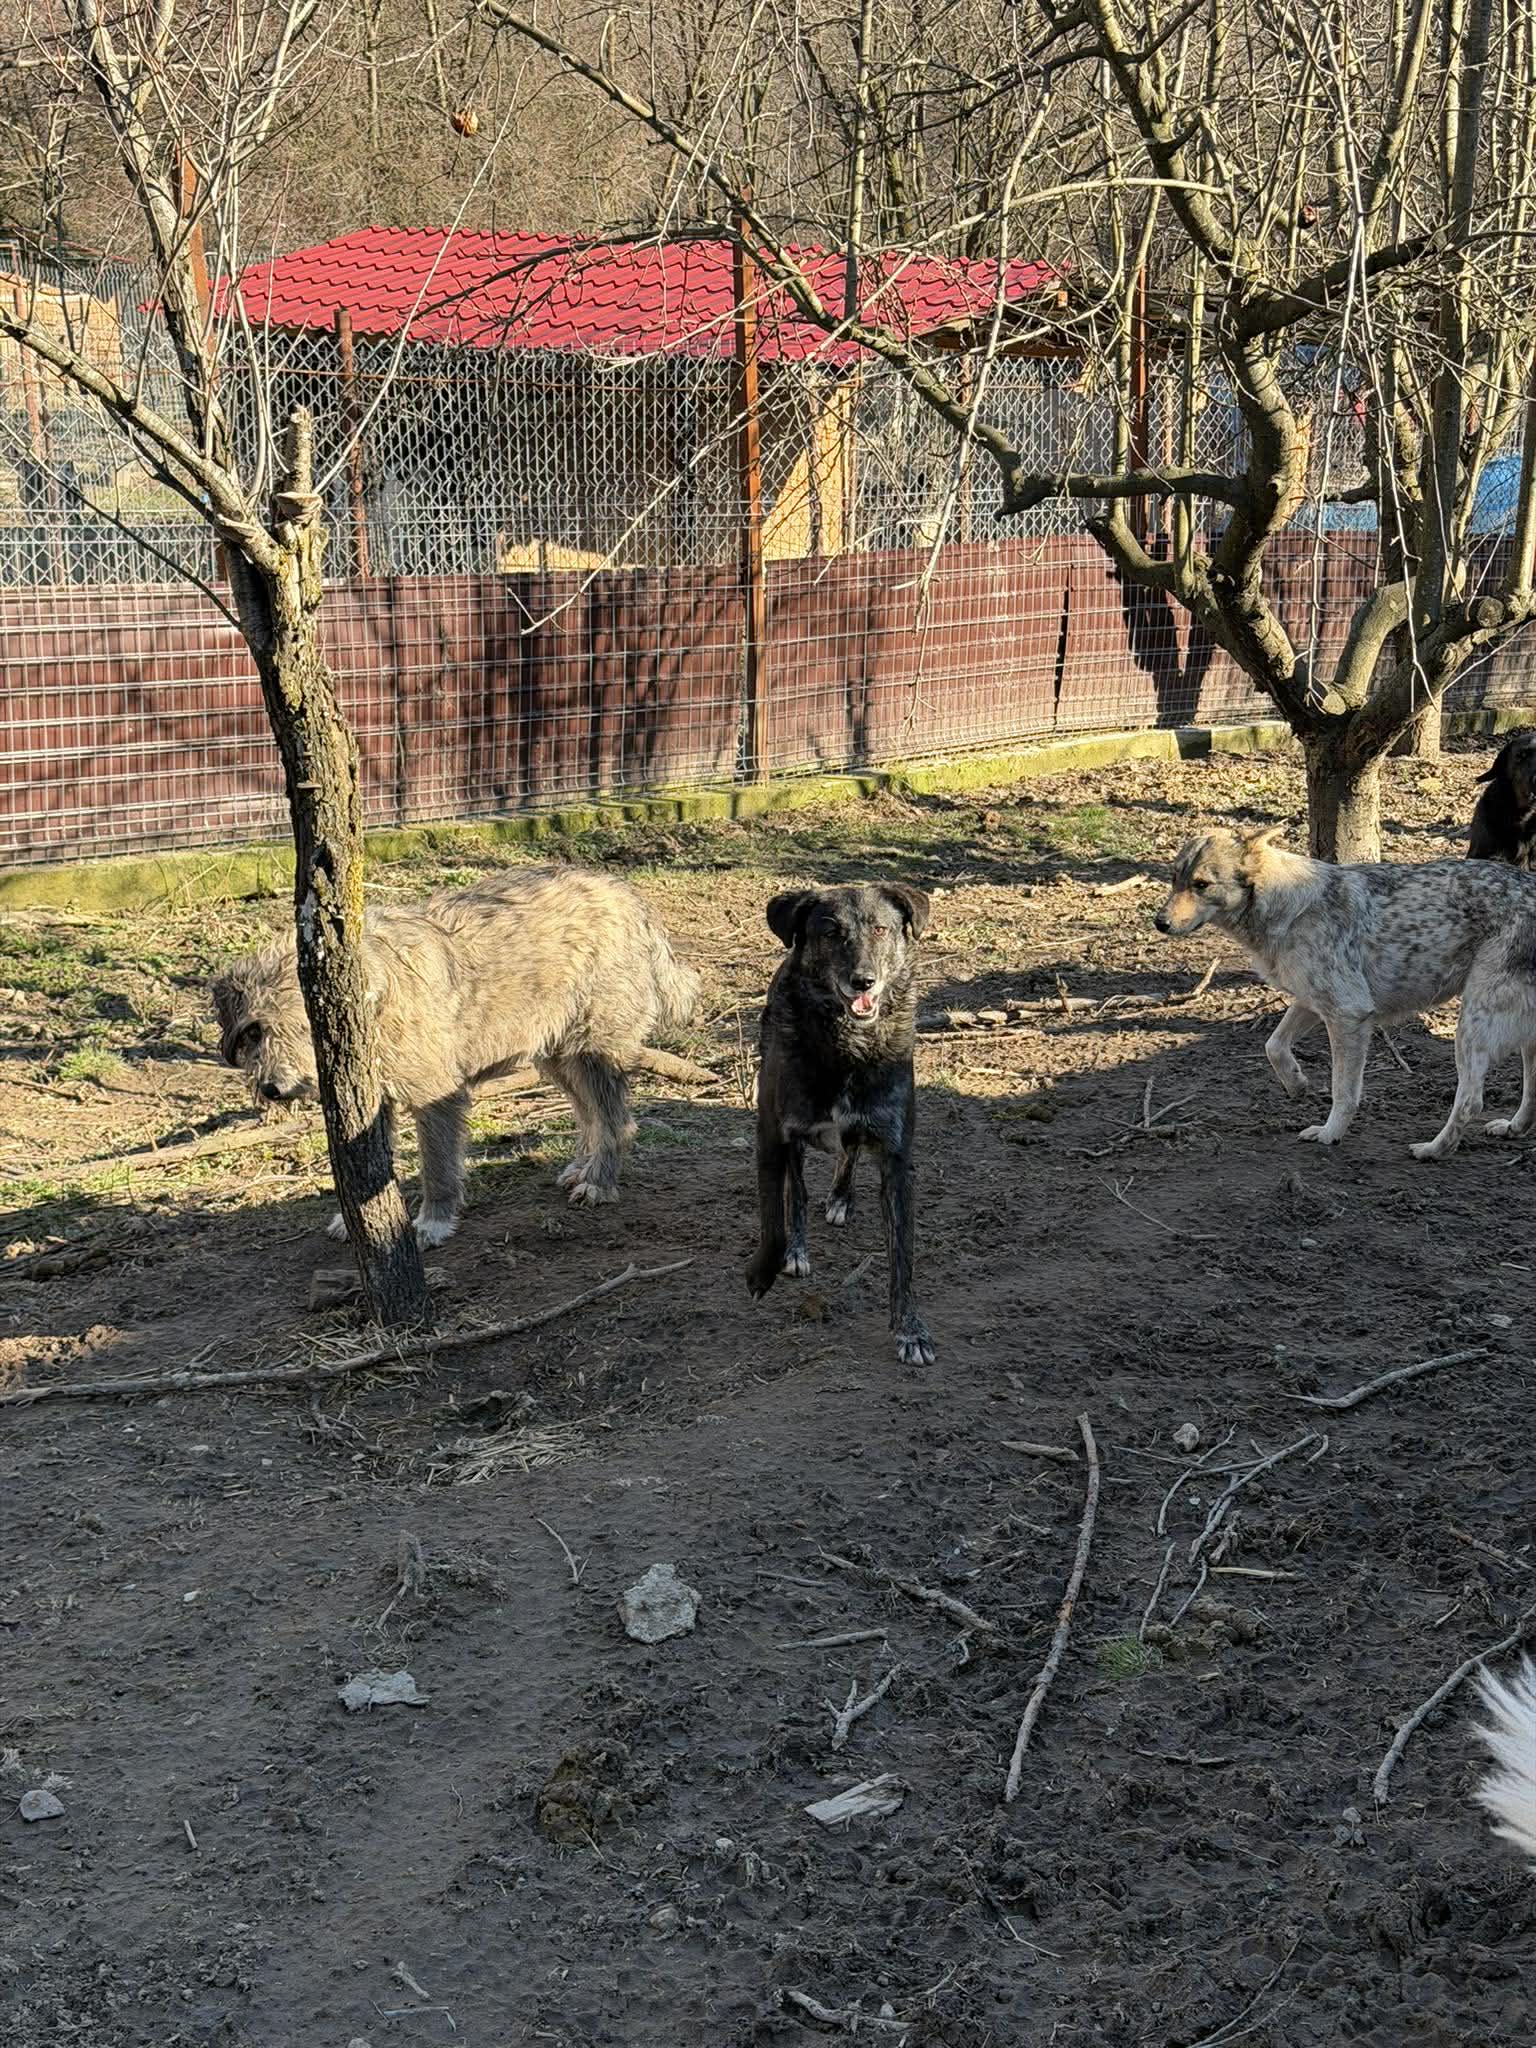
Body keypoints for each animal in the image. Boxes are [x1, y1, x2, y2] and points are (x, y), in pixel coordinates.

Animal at [212, 867, 700, 1245]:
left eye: (306, 1026)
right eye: (254, 1030)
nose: (272, 1089)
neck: (377, 997)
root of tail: (629, 897)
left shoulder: (436, 1097)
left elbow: (437, 1166)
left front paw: (432, 1222)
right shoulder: (374, 1103)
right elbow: (369, 1171)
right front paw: (360, 1224)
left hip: (594, 1050)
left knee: (617, 1121)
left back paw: (599, 1182)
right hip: (558, 1055)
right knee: (590, 1115)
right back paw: (583, 1167)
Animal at [745, 882, 934, 1367]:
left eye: (881, 929)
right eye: (830, 933)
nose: (863, 981)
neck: (849, 1045)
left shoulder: (896, 1157)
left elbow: (903, 1255)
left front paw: (910, 1330)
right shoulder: (772, 1134)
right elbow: (774, 1217)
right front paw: (764, 1270)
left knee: (848, 1153)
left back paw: (840, 1198)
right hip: (792, 1141)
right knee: (797, 1192)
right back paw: (797, 1246)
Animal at [1155, 824, 1536, 1158]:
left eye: (1201, 884)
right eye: (1174, 879)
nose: (1159, 923)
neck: (1284, 907)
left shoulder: (1348, 1015)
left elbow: (1344, 1092)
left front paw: (1330, 1134)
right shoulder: (1311, 1002)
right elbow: (1273, 1046)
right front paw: (1297, 1084)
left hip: (1470, 1029)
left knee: (1471, 1101)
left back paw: (1433, 1150)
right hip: (1522, 1043)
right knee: (1529, 1095)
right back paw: (1511, 1129)